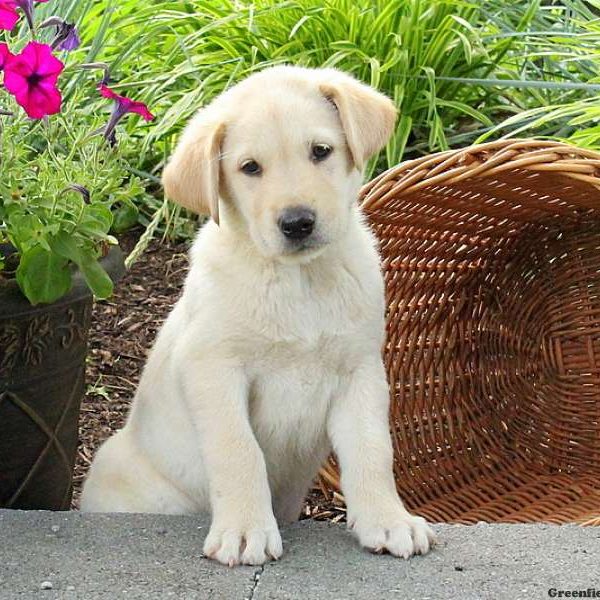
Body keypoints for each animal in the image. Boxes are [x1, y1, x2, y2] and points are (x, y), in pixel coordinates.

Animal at [81, 67, 436, 568]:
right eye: (250, 168)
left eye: (321, 151)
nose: (298, 223)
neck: (298, 281)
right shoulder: (213, 370)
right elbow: (238, 451)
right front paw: (246, 530)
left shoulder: (361, 371)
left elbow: (372, 449)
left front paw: (388, 520)